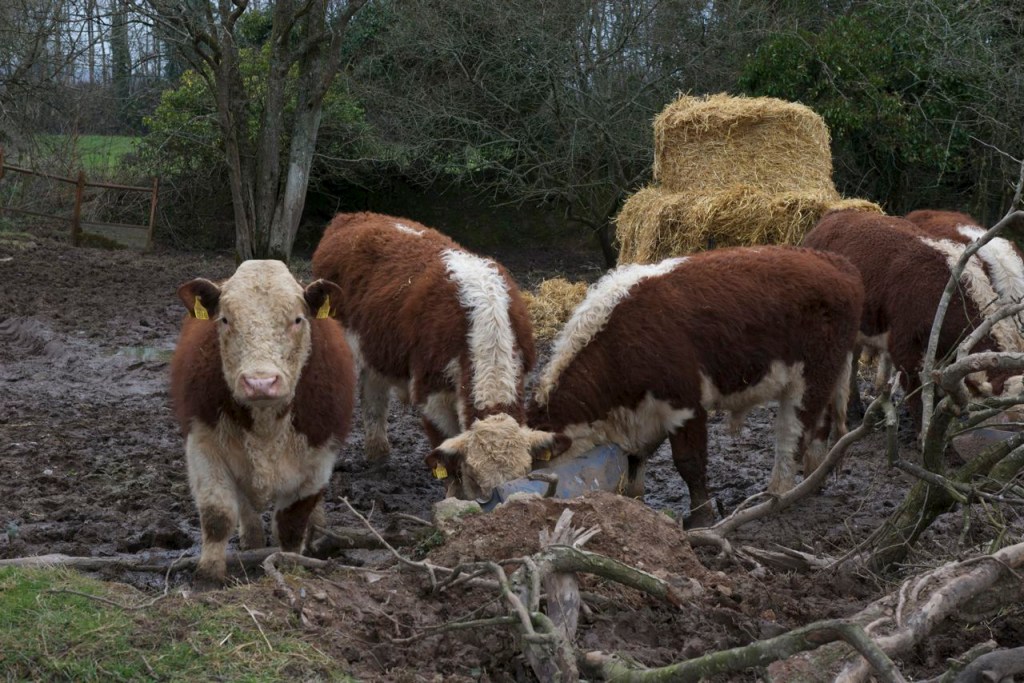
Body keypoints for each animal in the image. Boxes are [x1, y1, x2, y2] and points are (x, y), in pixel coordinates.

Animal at [170, 260, 355, 584]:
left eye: (297, 319)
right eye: (225, 319)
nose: (260, 383)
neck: (266, 426)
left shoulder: (318, 460)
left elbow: (292, 524)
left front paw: (291, 565)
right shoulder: (204, 444)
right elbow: (218, 514)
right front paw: (209, 575)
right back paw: (252, 539)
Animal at [310, 212, 558, 478]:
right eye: (475, 477)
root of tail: (352, 216)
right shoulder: (431, 394)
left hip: (373, 351)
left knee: (374, 396)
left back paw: (379, 455)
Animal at [426, 246, 864, 527]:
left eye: (531, 469)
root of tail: (837, 264)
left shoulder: (684, 403)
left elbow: (689, 464)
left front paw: (701, 516)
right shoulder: (639, 415)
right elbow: (634, 464)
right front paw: (633, 504)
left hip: (811, 376)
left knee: (793, 436)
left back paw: (779, 493)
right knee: (821, 430)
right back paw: (814, 478)